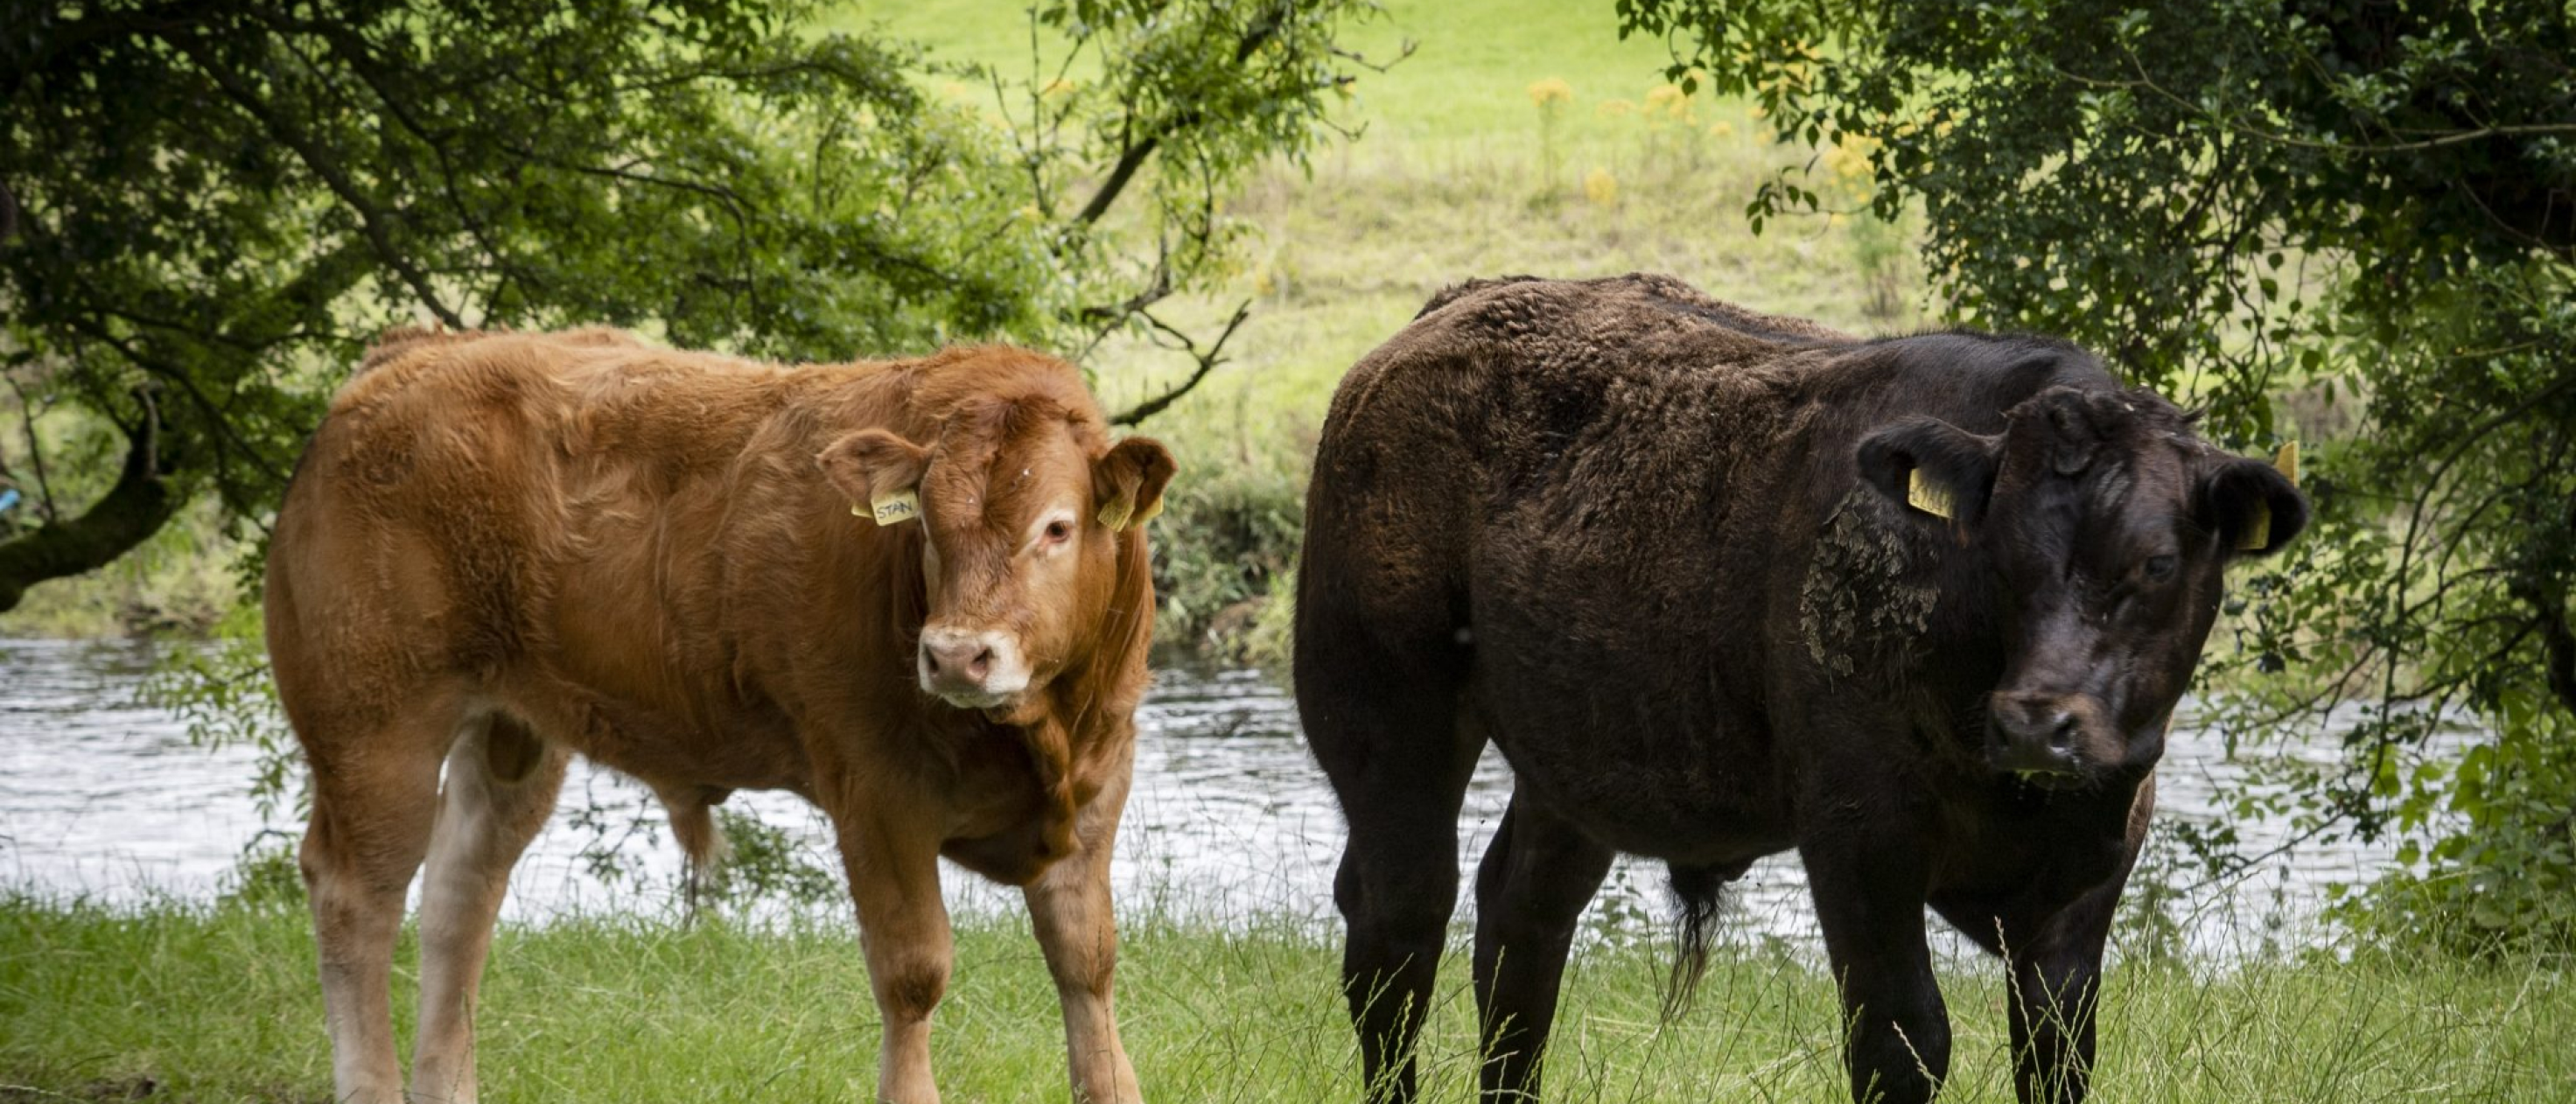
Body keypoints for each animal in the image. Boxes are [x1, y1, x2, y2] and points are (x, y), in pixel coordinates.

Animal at [258, 326, 1169, 1101]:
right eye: (928, 529)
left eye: (1058, 527)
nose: (954, 655)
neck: (1042, 738)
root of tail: (414, 351)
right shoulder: (876, 793)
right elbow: (914, 974)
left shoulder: (1101, 781)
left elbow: (1089, 961)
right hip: (375, 720)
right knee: (358, 895)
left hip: (510, 732)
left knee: (459, 894)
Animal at [1298, 269, 2307, 1101]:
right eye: (2000, 551)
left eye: (2157, 561)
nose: (2036, 725)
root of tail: (1449, 309)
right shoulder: (1859, 836)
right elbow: (1905, 1038)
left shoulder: (2092, 867)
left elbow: (2055, 1050)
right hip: (1385, 714)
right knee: (1399, 924)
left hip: (1575, 761)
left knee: (1520, 923)